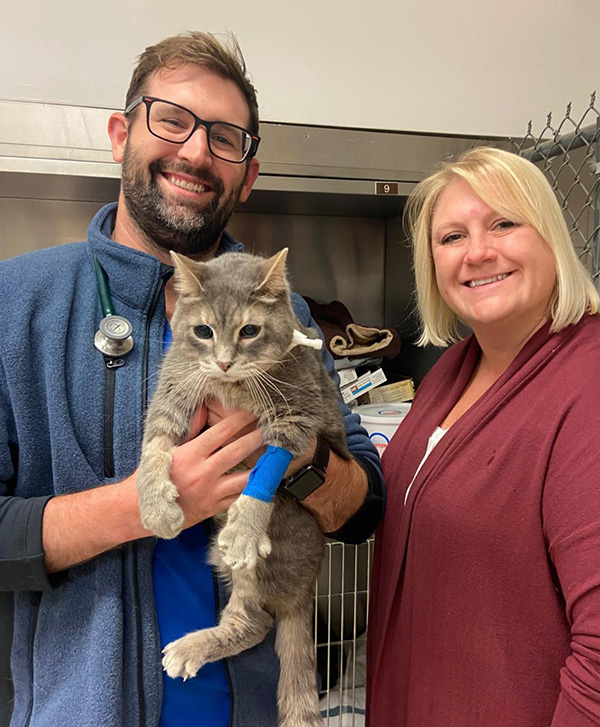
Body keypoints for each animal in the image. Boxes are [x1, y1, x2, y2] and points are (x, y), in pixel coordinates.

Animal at [138, 249, 350, 727]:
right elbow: (154, 446)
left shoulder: (296, 417)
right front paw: (155, 502)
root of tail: (308, 587)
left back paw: (192, 646)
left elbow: (267, 469)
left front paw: (245, 525)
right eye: (203, 331)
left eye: (249, 331)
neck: (230, 385)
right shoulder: (172, 390)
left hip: (263, 565)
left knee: (255, 624)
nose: (222, 361)